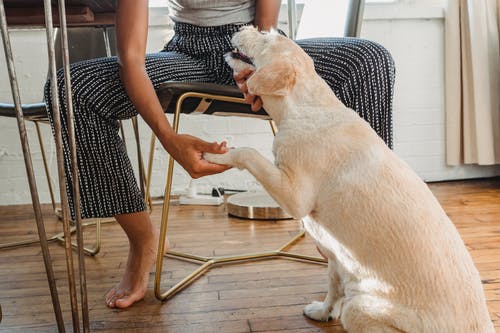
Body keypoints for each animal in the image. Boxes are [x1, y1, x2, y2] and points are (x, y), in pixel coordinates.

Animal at [203, 26, 492, 332]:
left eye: (267, 37)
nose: (241, 27)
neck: (305, 107)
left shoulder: (294, 197)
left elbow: (248, 152)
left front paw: (217, 155)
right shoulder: (336, 255)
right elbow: (333, 285)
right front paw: (323, 312)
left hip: (359, 309)